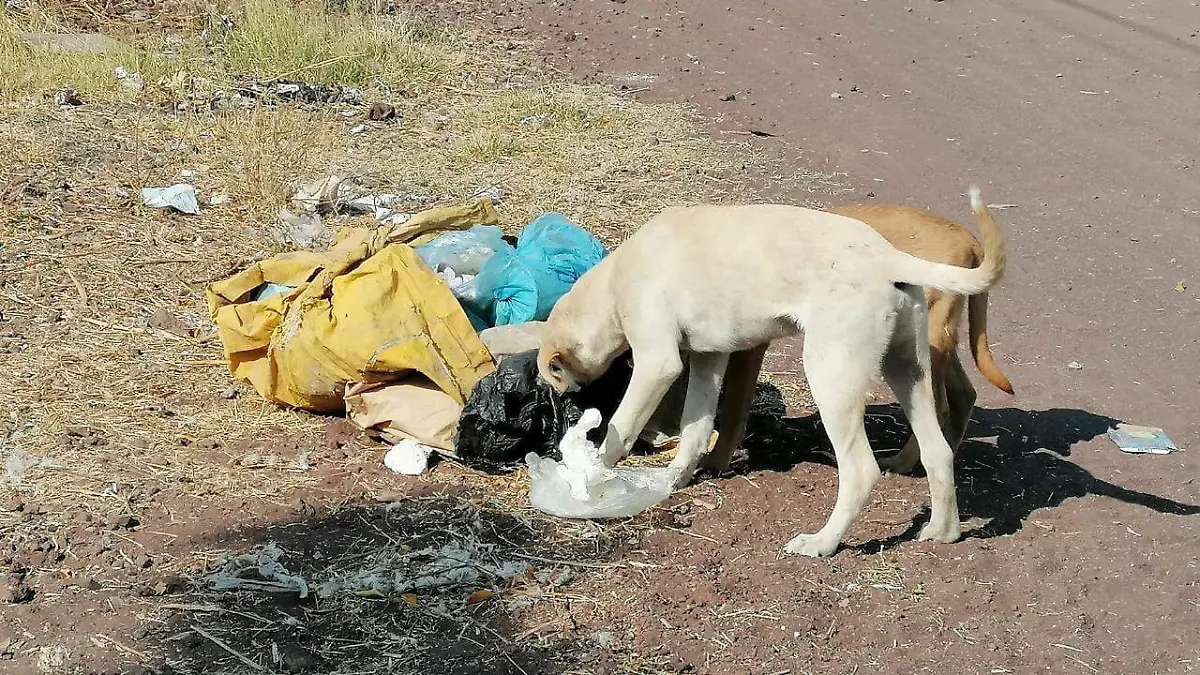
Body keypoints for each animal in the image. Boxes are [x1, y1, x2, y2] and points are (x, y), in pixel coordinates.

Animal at [700, 201, 1012, 475]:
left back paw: (902, 464)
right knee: (964, 395)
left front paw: (715, 462)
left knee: (938, 410)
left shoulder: (748, 349)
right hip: (934, 341)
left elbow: (733, 409)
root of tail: (966, 237)